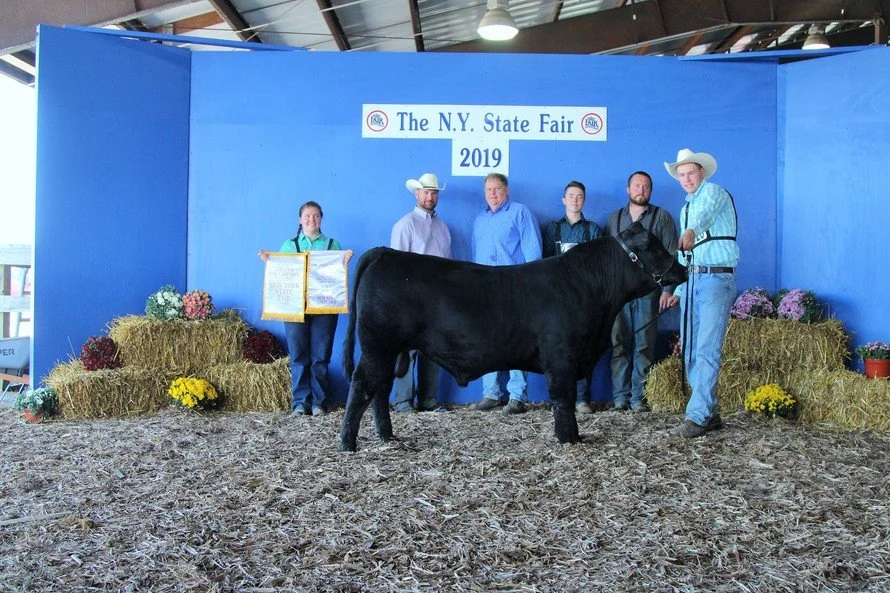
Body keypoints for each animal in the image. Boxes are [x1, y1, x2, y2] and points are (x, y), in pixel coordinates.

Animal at [339, 221, 687, 452]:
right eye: (653, 246)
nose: (683, 269)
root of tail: (385, 252)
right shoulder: (561, 355)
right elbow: (563, 398)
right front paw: (569, 439)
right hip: (377, 347)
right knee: (361, 386)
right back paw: (348, 443)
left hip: (388, 351)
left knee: (380, 390)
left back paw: (387, 436)